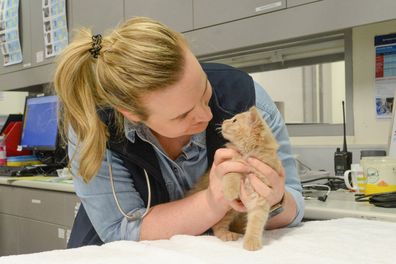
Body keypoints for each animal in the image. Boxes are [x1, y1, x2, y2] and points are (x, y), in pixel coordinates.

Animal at [189, 106, 282, 251]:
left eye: (234, 120)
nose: (224, 121)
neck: (248, 153)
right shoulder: (231, 162)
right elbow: (232, 174)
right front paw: (231, 191)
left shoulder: (260, 196)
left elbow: (256, 222)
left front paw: (252, 241)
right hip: (228, 209)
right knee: (217, 226)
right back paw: (226, 234)